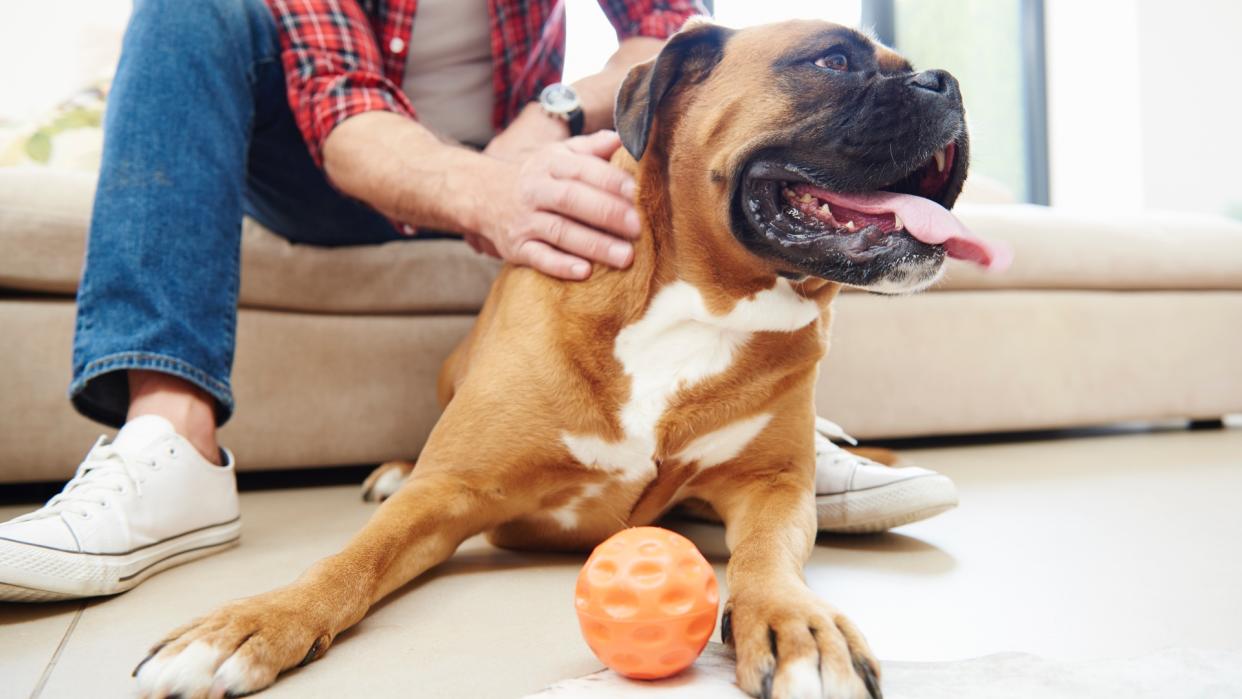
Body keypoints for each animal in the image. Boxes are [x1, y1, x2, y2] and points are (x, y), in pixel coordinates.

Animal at [135, 17, 1008, 699]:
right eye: (831, 61)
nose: (948, 83)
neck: (697, 308)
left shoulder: (773, 488)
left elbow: (769, 560)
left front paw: (797, 625)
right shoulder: (447, 492)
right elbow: (346, 562)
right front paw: (252, 622)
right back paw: (388, 468)